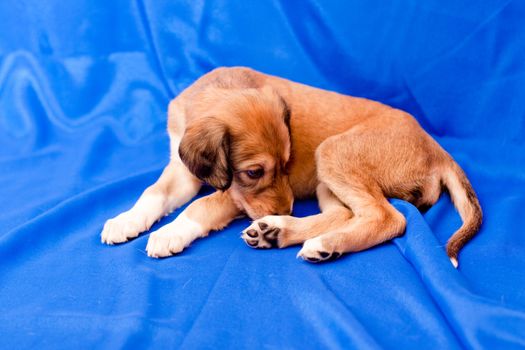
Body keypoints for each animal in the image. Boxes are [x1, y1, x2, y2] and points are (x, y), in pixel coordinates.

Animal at [100, 67, 482, 266]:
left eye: (287, 162)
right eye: (255, 172)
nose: (286, 209)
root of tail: (436, 148)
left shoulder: (233, 195)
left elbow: (202, 205)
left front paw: (169, 233)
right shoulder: (184, 170)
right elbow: (153, 192)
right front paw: (126, 220)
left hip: (332, 153)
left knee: (389, 218)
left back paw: (318, 241)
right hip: (327, 177)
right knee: (344, 214)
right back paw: (277, 232)